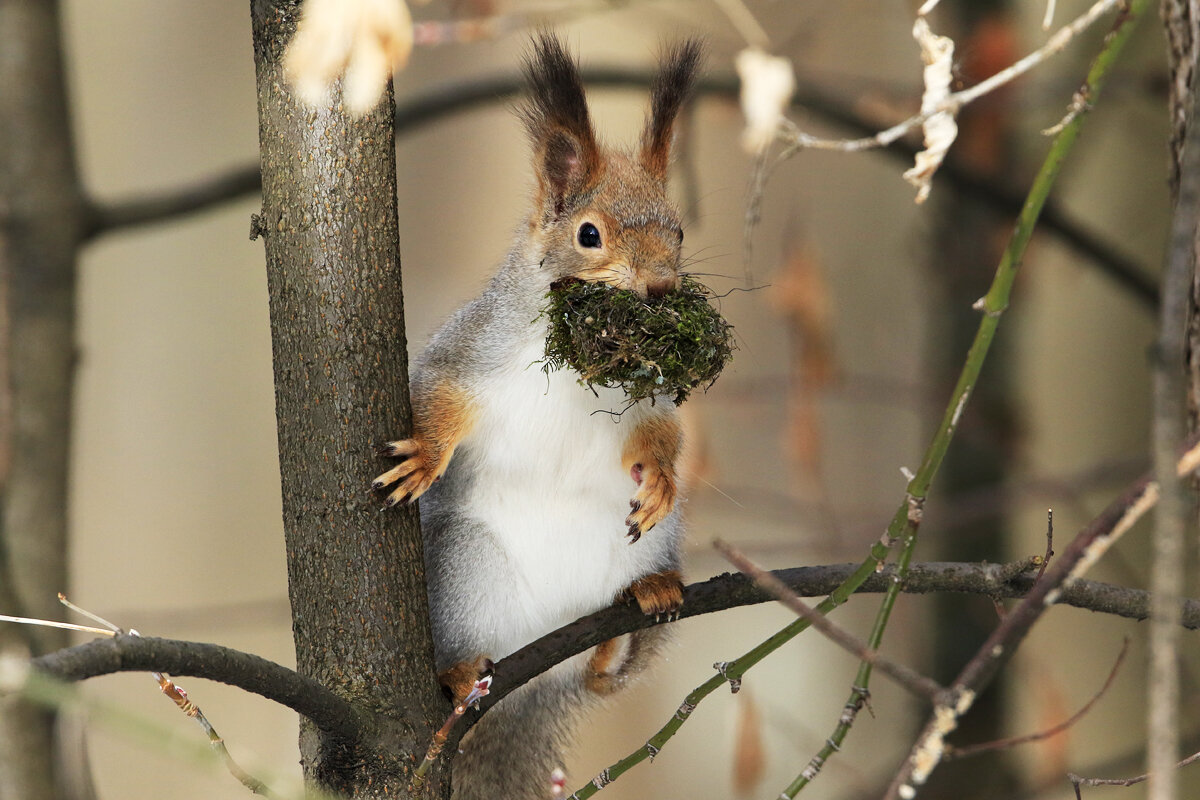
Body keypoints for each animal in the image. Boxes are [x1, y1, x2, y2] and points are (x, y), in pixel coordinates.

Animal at [369, 34, 700, 800]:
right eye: (589, 234)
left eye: (676, 231)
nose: (661, 287)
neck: (580, 363)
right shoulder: (472, 351)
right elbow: (440, 392)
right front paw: (426, 454)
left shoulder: (648, 392)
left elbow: (661, 433)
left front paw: (661, 474)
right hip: (466, 571)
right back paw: (461, 673)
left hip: (647, 549)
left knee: (605, 682)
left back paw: (632, 620)